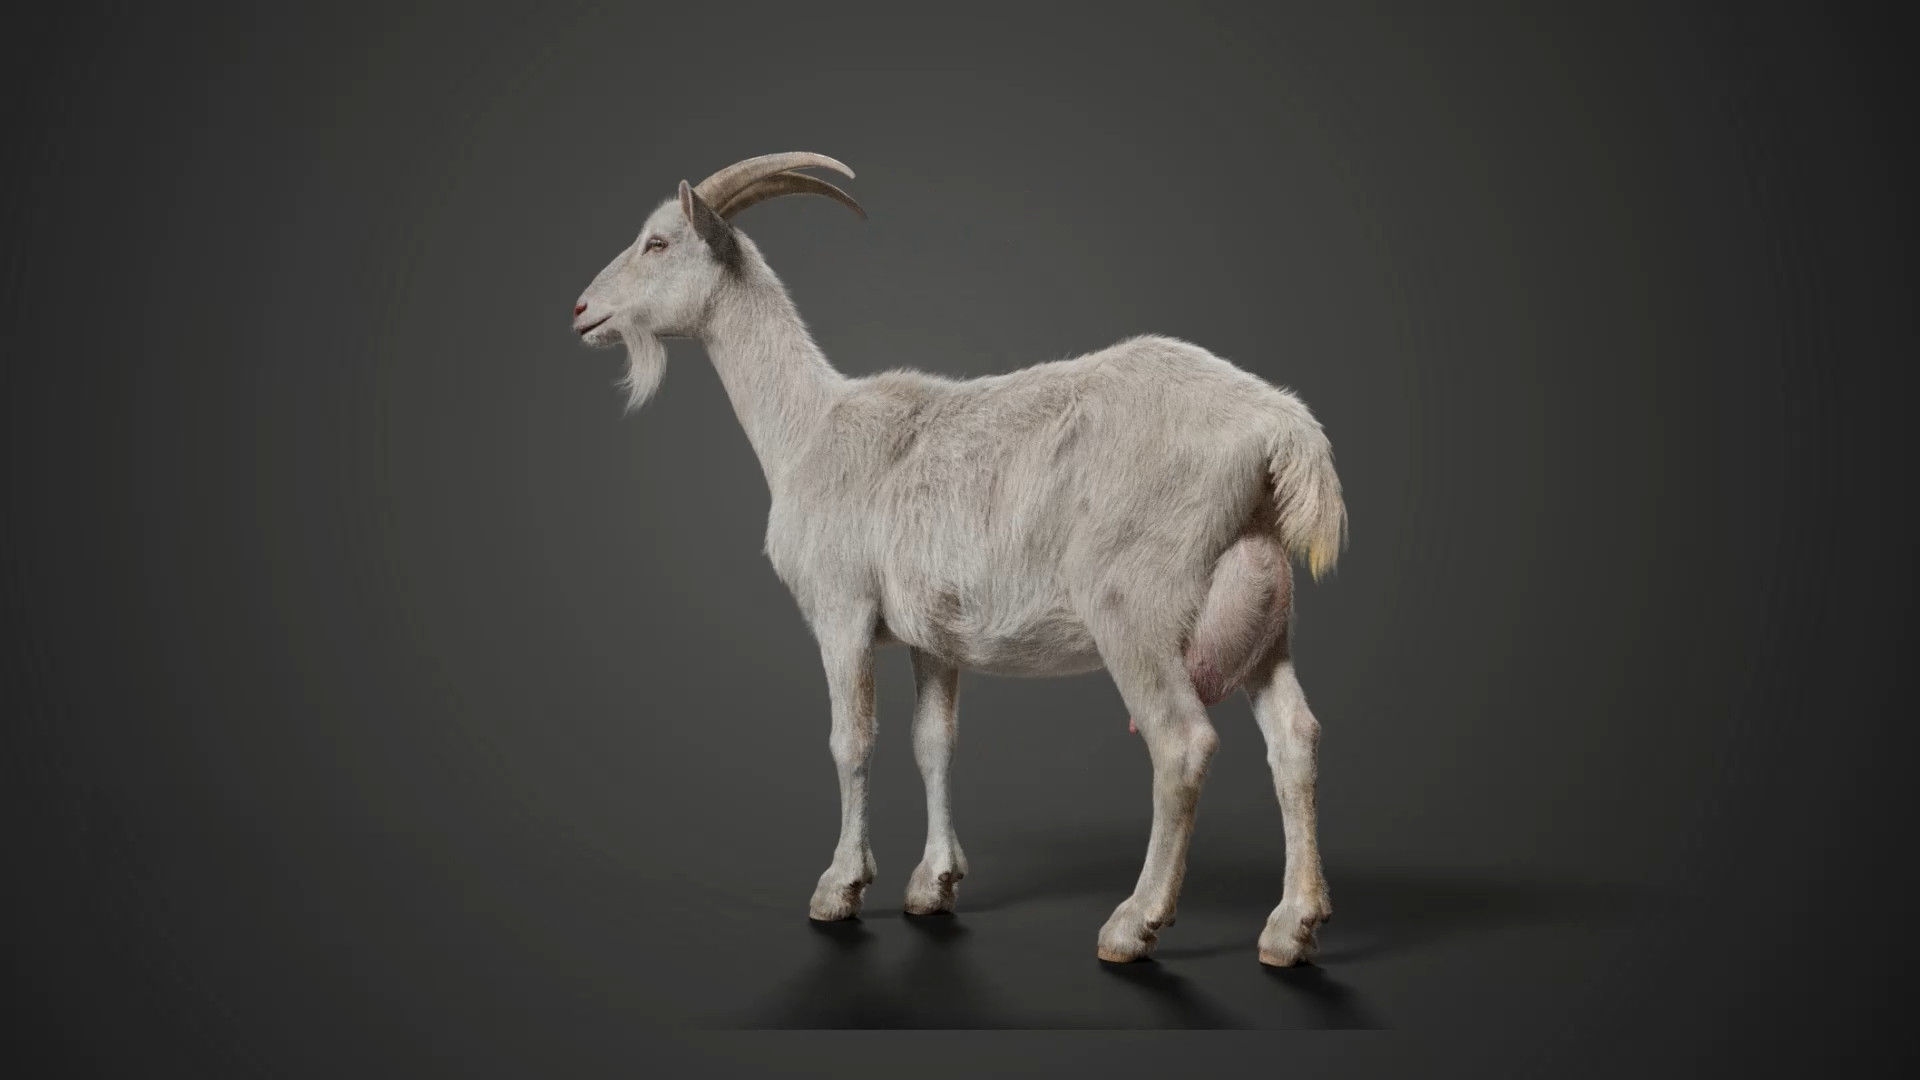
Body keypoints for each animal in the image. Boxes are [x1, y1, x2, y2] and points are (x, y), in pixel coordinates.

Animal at [571, 153, 1346, 966]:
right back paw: (1292, 927)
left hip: (1134, 605)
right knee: (1296, 740)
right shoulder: (932, 635)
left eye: (658, 242)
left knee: (1181, 743)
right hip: (1262, 608)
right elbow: (933, 743)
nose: (582, 310)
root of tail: (1280, 428)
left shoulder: (842, 610)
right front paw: (933, 885)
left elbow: (851, 741)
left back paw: (1135, 924)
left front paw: (839, 888)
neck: (809, 430)